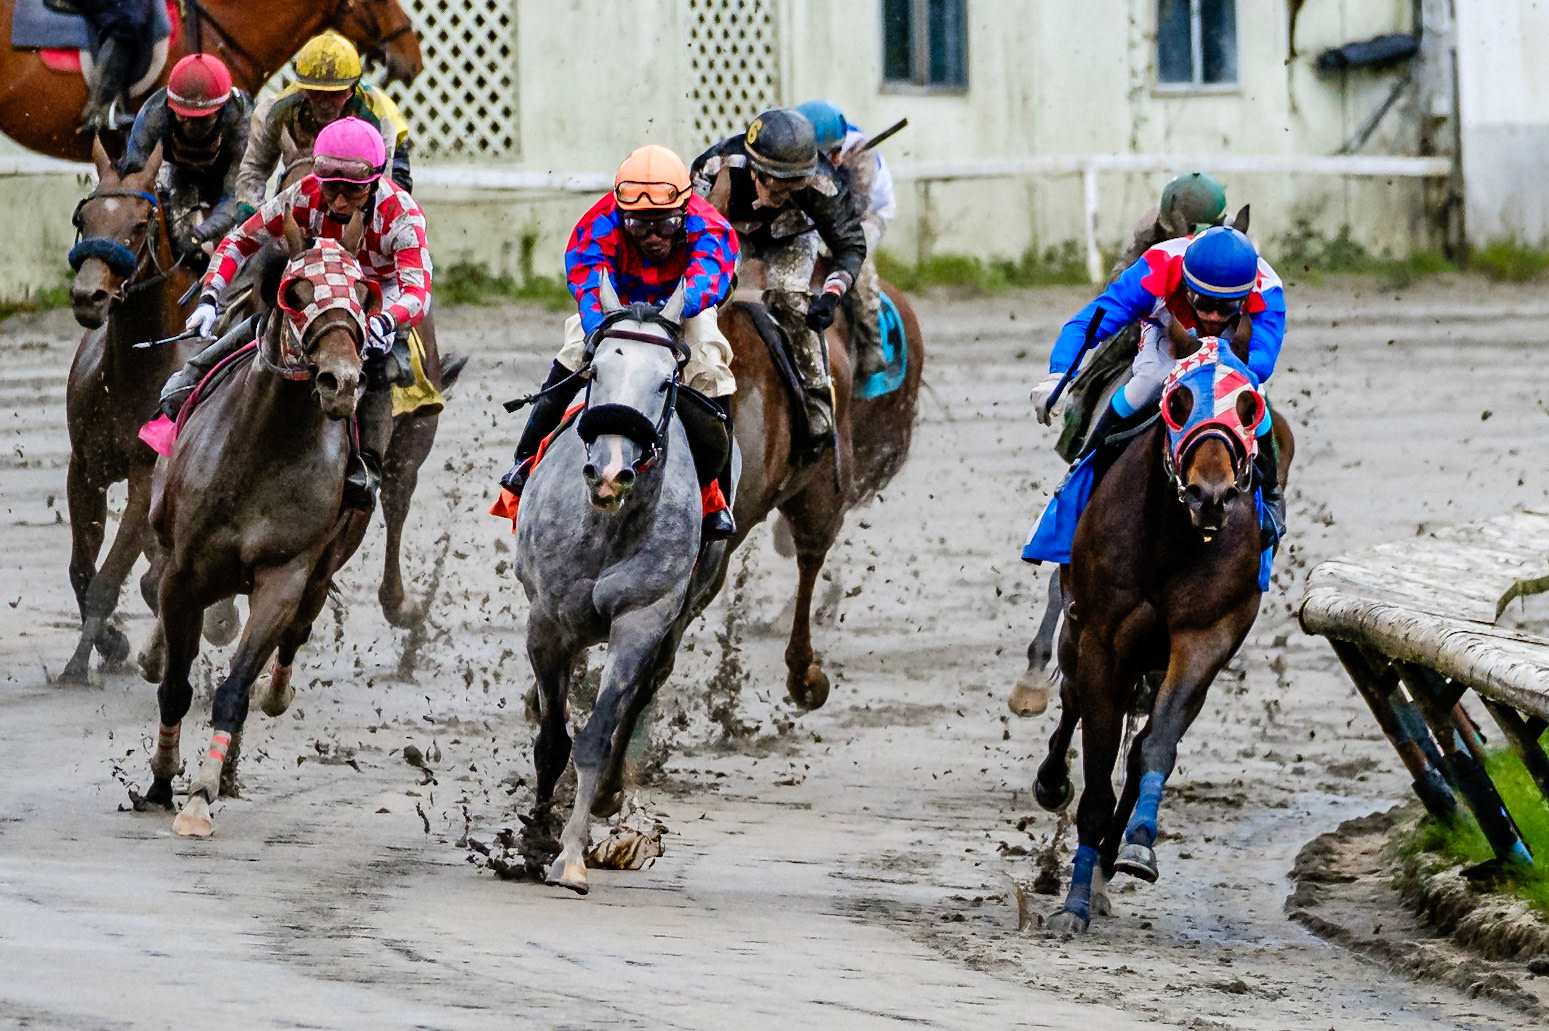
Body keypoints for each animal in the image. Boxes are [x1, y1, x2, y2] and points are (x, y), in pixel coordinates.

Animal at [59, 137, 204, 682]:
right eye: (85, 218)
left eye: (140, 224)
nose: (88, 296)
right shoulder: (84, 469)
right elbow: (82, 571)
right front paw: (110, 643)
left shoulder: (147, 473)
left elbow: (109, 577)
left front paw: (78, 664)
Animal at [142, 212, 374, 838]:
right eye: (298, 291)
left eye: (362, 293)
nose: (342, 381)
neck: (262, 448)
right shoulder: (185, 573)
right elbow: (175, 686)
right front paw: (160, 781)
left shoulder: (284, 575)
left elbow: (236, 689)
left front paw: (201, 795)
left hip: (324, 565)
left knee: (295, 634)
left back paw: (271, 702)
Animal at [516, 278, 725, 893]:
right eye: (596, 371)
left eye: (664, 380)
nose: (609, 473)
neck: (607, 526)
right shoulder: (548, 622)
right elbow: (552, 743)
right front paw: (534, 841)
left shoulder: (642, 619)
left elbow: (594, 735)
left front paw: (570, 855)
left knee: (642, 692)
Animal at [1035, 316, 1295, 933]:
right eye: (1177, 402)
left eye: (1247, 405)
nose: (1211, 495)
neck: (1172, 538)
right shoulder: (1103, 642)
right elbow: (1096, 774)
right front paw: (1074, 904)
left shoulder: (1203, 641)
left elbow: (1153, 748)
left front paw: (1135, 847)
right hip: (1080, 630)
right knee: (1073, 699)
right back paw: (1053, 784)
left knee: (1139, 743)